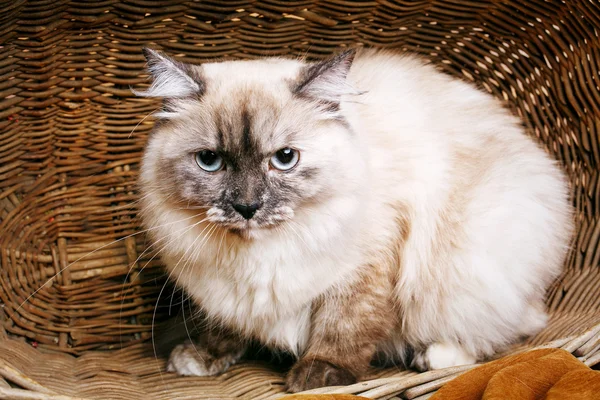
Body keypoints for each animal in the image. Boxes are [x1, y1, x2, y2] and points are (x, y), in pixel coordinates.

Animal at [134, 46, 576, 390]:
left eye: (285, 158)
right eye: (210, 161)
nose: (247, 206)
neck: (260, 252)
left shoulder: (367, 267)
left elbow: (344, 327)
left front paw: (317, 377)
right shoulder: (224, 293)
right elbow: (223, 327)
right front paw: (199, 358)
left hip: (471, 268)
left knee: (506, 330)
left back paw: (433, 357)